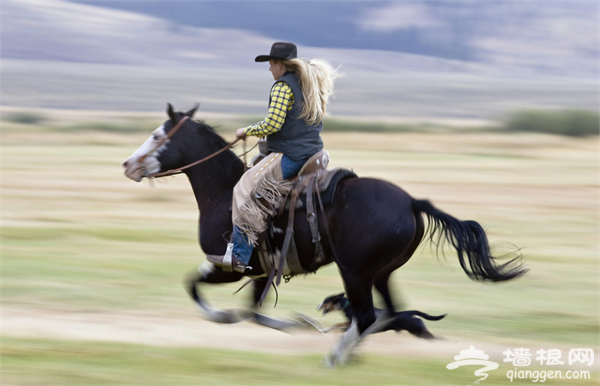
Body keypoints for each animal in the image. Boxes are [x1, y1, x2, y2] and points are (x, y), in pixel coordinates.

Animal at [124, 104, 528, 366]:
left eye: (158, 135)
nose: (128, 164)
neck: (223, 193)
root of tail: (412, 201)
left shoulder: (231, 266)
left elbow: (200, 290)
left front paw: (284, 323)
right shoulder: (260, 273)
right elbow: (249, 311)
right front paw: (296, 323)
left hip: (356, 272)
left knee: (367, 315)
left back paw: (336, 355)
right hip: (381, 273)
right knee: (388, 312)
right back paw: (351, 350)